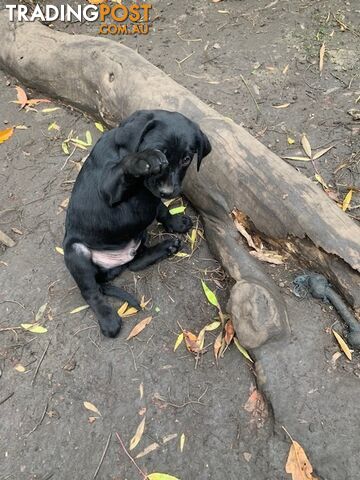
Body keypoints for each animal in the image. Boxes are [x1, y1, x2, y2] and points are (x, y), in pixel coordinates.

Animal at [64, 110, 211, 340]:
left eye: (186, 159)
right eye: (160, 154)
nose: (168, 191)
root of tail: (112, 266)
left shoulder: (151, 199)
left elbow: (162, 209)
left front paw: (176, 223)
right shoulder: (109, 188)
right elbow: (125, 169)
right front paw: (142, 159)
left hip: (138, 236)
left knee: (136, 262)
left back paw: (166, 247)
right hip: (75, 253)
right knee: (91, 292)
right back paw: (109, 319)